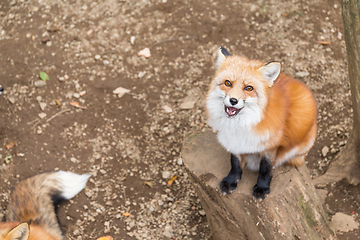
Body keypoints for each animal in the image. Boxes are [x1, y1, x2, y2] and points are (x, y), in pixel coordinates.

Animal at [205, 47, 318, 199]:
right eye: (228, 83)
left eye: (249, 88)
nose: (233, 100)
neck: (240, 125)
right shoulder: (233, 141)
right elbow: (235, 163)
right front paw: (231, 180)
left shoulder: (270, 144)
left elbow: (265, 168)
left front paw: (262, 187)